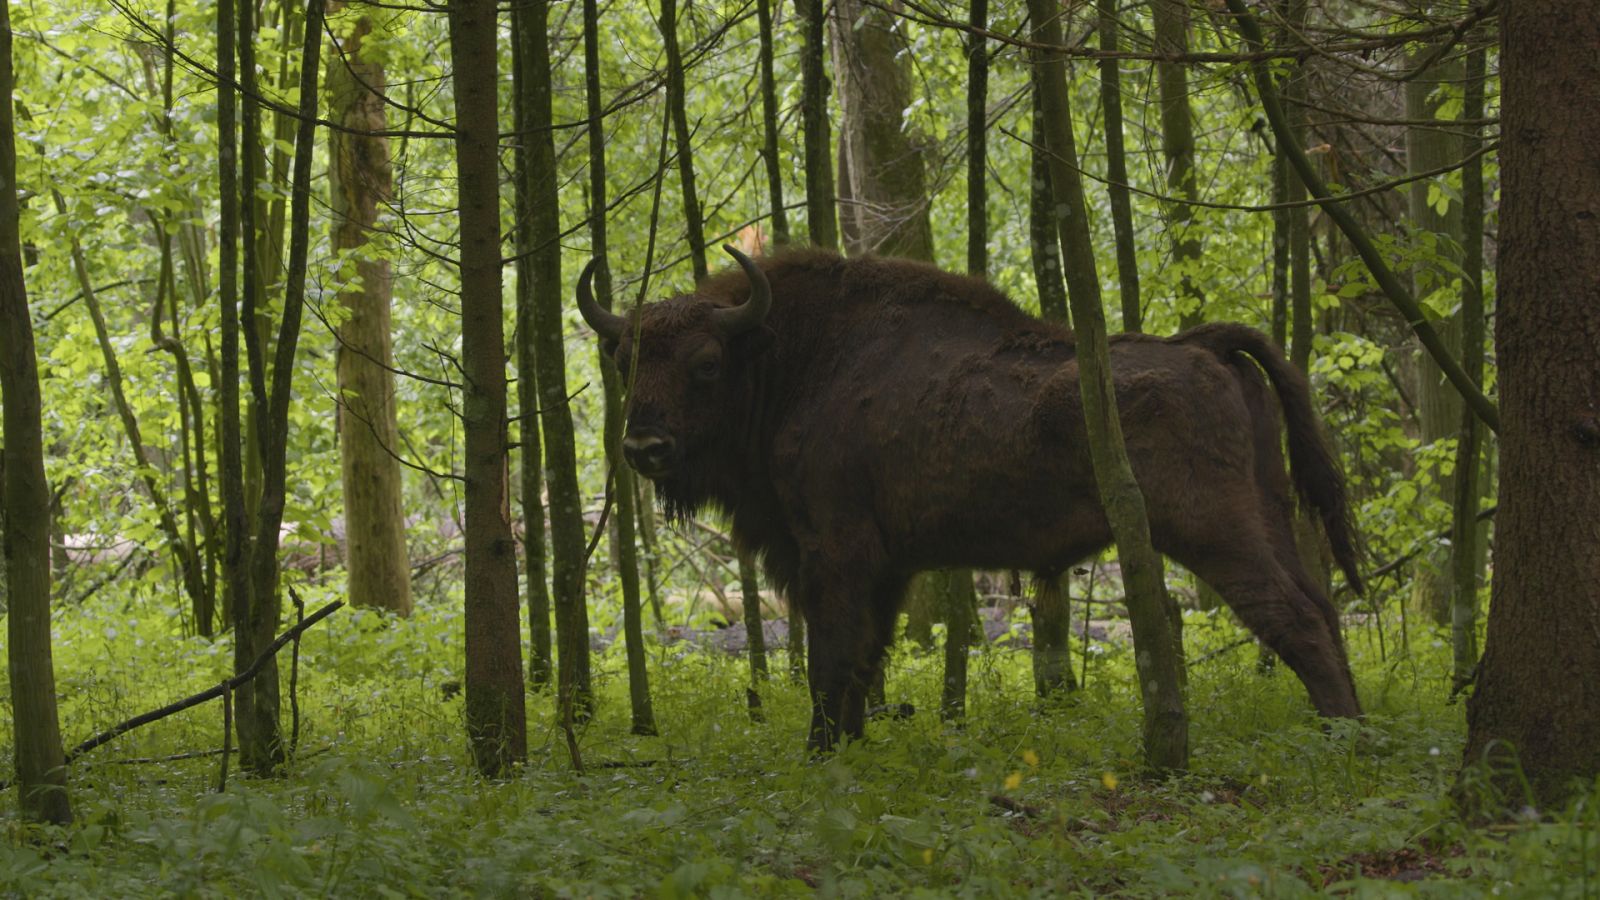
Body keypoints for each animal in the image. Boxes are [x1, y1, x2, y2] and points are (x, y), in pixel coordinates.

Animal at [579, 245, 1363, 749]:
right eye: (626, 361)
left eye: (707, 364)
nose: (644, 446)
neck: (793, 356)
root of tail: (1204, 348)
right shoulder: (887, 568)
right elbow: (865, 657)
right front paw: (851, 748)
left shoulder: (834, 553)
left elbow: (834, 657)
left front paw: (820, 753)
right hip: (1268, 511)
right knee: (1321, 606)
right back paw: (1359, 723)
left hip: (1213, 529)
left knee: (1292, 616)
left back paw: (1343, 736)